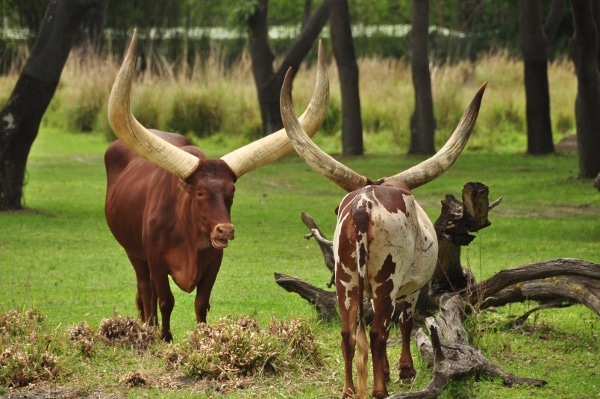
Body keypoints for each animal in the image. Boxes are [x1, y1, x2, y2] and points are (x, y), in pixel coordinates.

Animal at [103, 32, 328, 344]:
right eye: (199, 193)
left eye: (231, 193)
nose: (225, 230)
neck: (187, 232)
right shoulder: (156, 261)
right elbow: (166, 301)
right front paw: (165, 338)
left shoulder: (213, 262)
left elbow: (201, 303)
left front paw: (203, 337)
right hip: (133, 252)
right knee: (145, 292)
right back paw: (147, 328)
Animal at [278, 69, 486, 399]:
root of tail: (364, 206)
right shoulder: (410, 289)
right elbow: (404, 324)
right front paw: (404, 371)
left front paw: (388, 370)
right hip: (386, 279)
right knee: (378, 331)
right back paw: (378, 390)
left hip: (346, 280)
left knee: (349, 331)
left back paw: (350, 390)